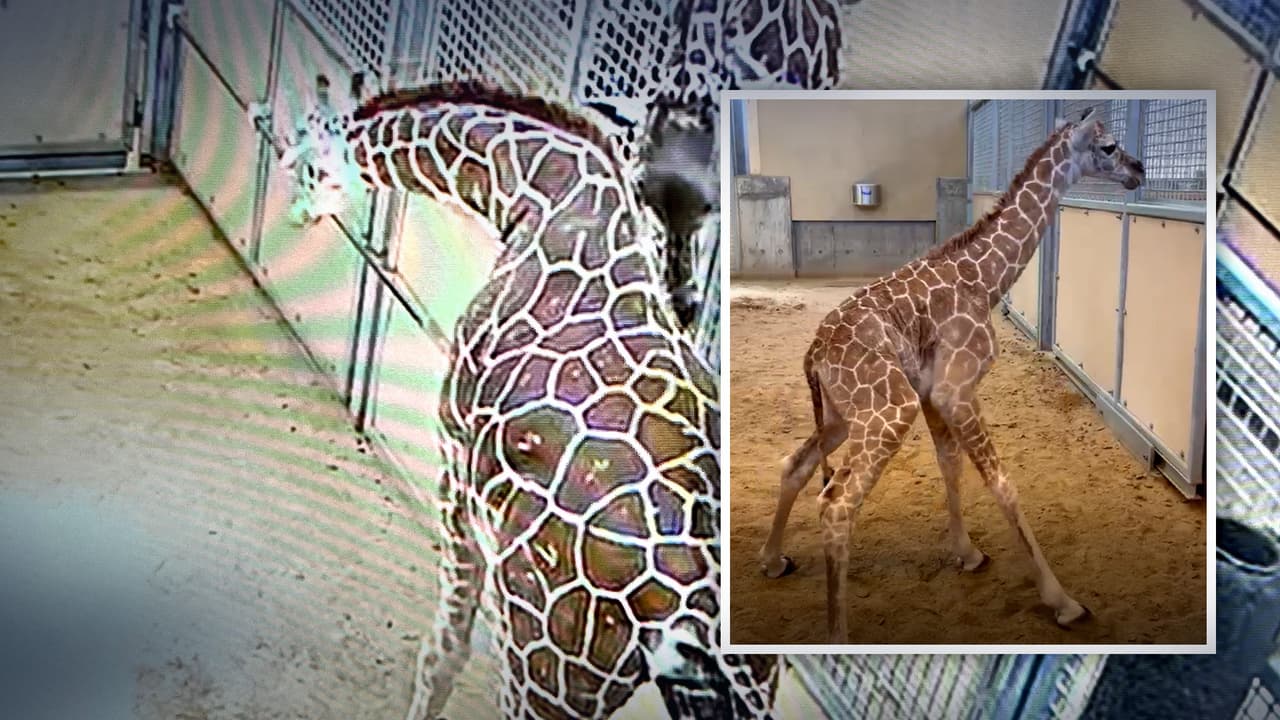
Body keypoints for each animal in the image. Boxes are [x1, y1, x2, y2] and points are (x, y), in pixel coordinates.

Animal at [756, 106, 1146, 644]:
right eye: (1108, 146)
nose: (1139, 170)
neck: (985, 280)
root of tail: (813, 353)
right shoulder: (955, 390)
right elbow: (1003, 484)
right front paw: (1064, 602)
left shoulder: (933, 393)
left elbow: (950, 465)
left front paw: (968, 553)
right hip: (886, 409)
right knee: (836, 504)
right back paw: (837, 637)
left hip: (842, 414)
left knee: (794, 465)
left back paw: (774, 561)